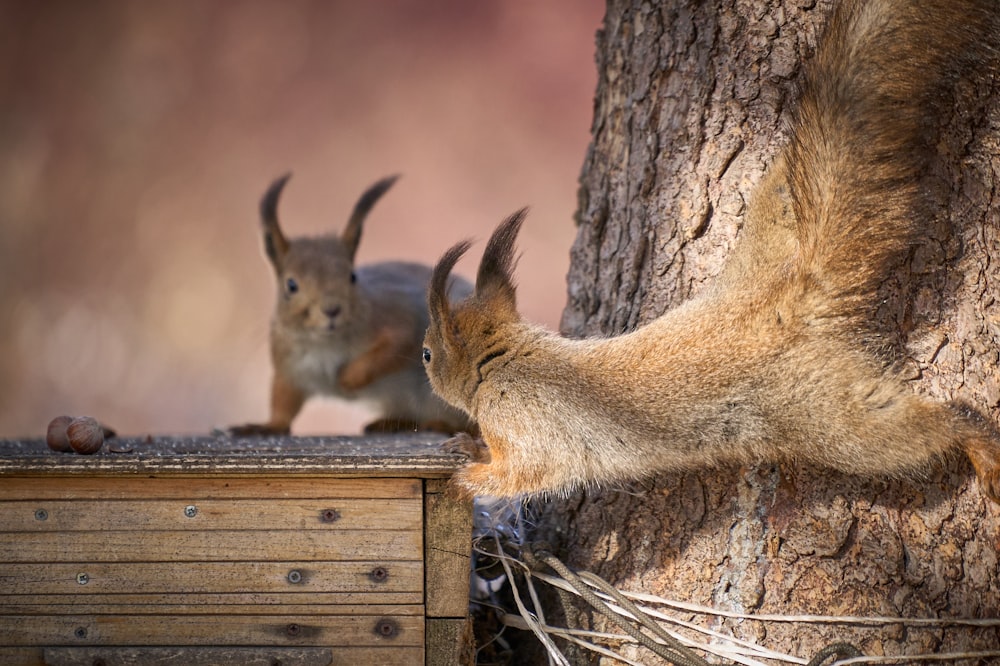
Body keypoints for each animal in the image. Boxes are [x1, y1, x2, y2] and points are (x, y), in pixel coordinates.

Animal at [229, 174, 474, 434]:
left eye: (352, 276)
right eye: (291, 285)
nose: (332, 310)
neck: (325, 342)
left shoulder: (396, 312)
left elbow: (397, 342)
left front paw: (349, 378)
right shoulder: (288, 367)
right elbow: (283, 403)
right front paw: (266, 426)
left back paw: (440, 424)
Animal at [418, 0, 1000, 498]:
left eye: (426, 354)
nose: (424, 367)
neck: (506, 359)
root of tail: (785, 301)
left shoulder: (529, 424)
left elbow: (529, 472)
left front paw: (469, 476)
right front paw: (465, 445)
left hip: (830, 418)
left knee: (922, 428)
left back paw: (976, 443)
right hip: (775, 220)